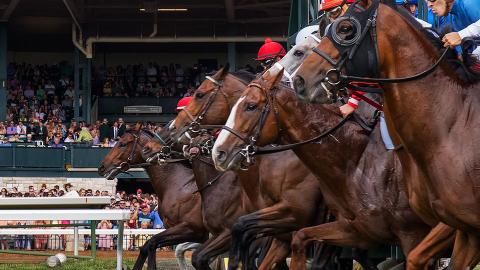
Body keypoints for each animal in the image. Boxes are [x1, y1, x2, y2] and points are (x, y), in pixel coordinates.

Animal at [99, 127, 208, 270]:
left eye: (122, 144)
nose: (102, 167)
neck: (178, 184)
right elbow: (148, 245)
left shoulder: (193, 229)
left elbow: (151, 243)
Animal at [211, 66, 436, 270]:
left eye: (250, 106)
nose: (218, 152)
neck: (353, 158)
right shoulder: (353, 230)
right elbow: (249, 231)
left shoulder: (411, 233)